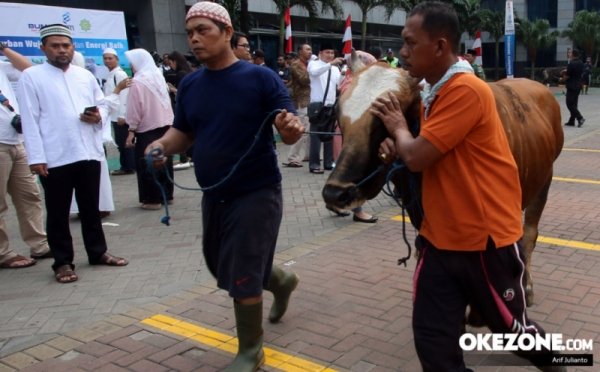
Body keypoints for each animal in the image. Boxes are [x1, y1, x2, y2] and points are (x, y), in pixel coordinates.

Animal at [324, 61, 564, 306]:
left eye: (381, 122)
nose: (335, 193)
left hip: (545, 180)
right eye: (339, 114)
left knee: (529, 234)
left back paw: (527, 286)